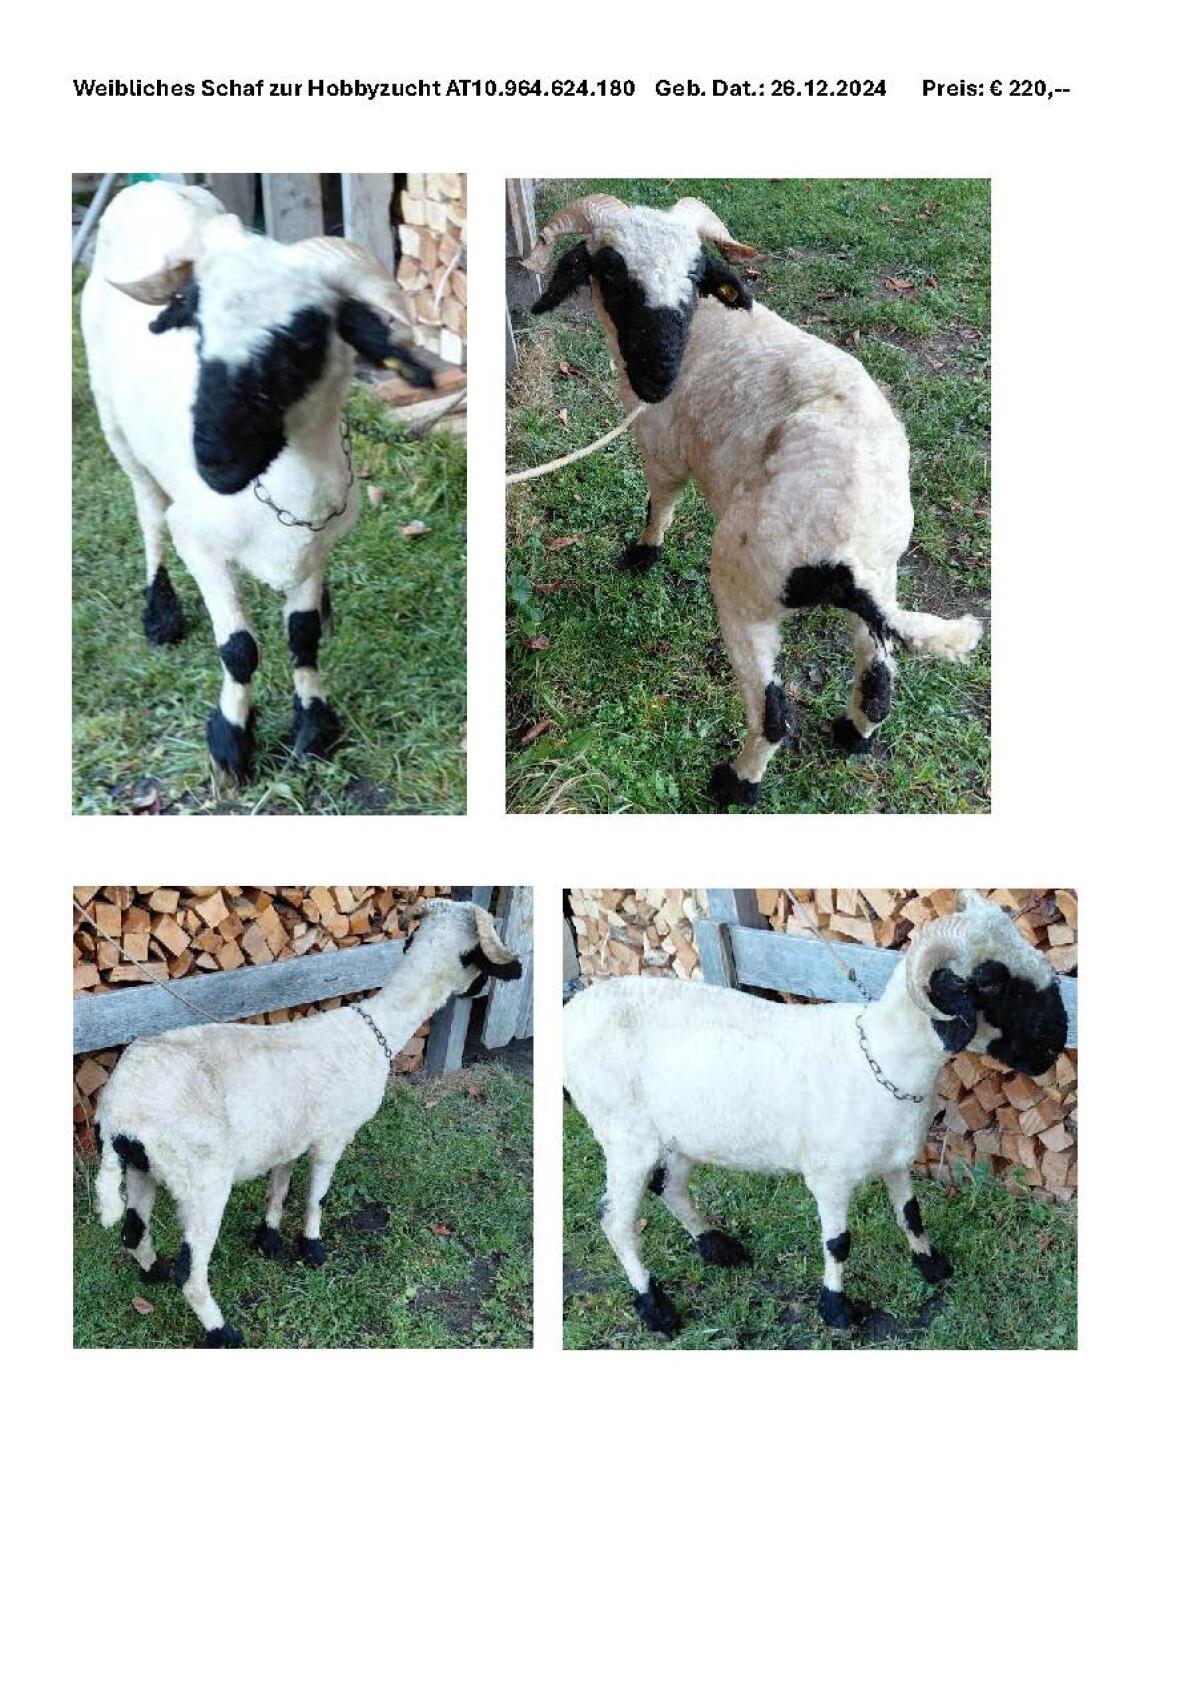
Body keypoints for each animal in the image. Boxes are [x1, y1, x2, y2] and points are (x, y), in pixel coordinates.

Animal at [81, 180, 442, 782]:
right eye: (198, 331)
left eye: (301, 339)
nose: (212, 460)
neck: (288, 489)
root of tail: (148, 185)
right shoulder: (197, 540)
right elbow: (238, 649)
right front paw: (231, 741)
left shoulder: (316, 542)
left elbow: (303, 637)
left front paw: (314, 727)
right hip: (116, 428)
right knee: (149, 511)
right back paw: (160, 613)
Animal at [93, 899, 521, 1347]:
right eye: (483, 958)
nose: (488, 987)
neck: (375, 1031)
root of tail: (119, 1112)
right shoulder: (332, 1137)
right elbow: (318, 1196)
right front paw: (312, 1247)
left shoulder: (290, 1137)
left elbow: (279, 1189)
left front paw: (269, 1240)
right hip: (202, 1180)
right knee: (190, 1273)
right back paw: (223, 1332)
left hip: (142, 1170)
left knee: (133, 1233)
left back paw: (153, 1273)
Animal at [525, 193, 985, 810]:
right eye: (613, 273)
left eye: (694, 274)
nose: (657, 379)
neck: (708, 325)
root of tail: (846, 558)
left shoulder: (663, 447)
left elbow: (660, 502)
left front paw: (643, 554)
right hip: (883, 579)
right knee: (878, 679)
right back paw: (852, 735)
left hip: (745, 591)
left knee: (775, 716)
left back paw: (735, 783)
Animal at [563, 891, 1067, 1339]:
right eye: (990, 981)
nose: (1057, 1037)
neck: (882, 1059)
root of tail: (573, 1011)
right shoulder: (829, 1177)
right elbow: (838, 1244)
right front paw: (838, 1310)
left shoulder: (896, 1161)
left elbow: (911, 1215)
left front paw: (931, 1265)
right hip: (625, 1137)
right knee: (616, 1222)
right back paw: (656, 1307)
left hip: (678, 1135)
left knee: (669, 1186)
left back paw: (717, 1247)